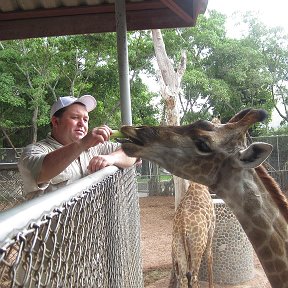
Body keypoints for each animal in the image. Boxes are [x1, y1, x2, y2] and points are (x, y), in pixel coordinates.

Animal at [118, 108, 288, 288]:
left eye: (203, 144)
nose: (133, 130)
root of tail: (184, 228)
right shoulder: (211, 231)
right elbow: (210, 257)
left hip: (180, 247)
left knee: (183, 275)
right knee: (192, 275)